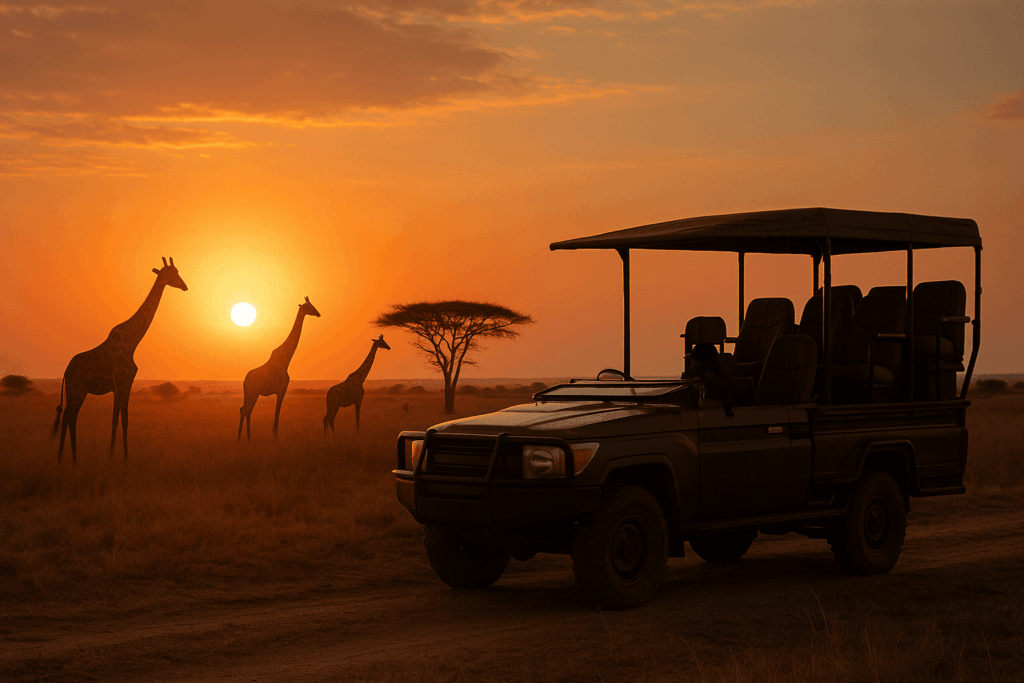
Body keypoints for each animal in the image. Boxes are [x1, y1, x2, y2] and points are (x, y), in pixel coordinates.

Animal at [51, 258, 188, 463]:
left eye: (177, 271)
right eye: (170, 274)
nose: (184, 286)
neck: (132, 343)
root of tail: (66, 371)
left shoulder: (126, 384)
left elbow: (125, 420)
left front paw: (124, 456)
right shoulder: (119, 383)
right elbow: (116, 420)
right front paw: (112, 456)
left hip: (78, 391)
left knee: (71, 416)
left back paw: (71, 460)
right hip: (76, 389)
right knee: (69, 416)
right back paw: (64, 460)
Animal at [238, 297, 321, 441]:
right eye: (309, 307)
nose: (318, 314)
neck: (285, 361)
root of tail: (244, 380)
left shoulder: (281, 391)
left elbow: (277, 412)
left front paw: (274, 435)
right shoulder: (281, 390)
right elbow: (277, 412)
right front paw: (275, 435)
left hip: (252, 393)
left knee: (245, 409)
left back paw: (246, 438)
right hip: (251, 392)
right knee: (245, 410)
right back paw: (243, 438)